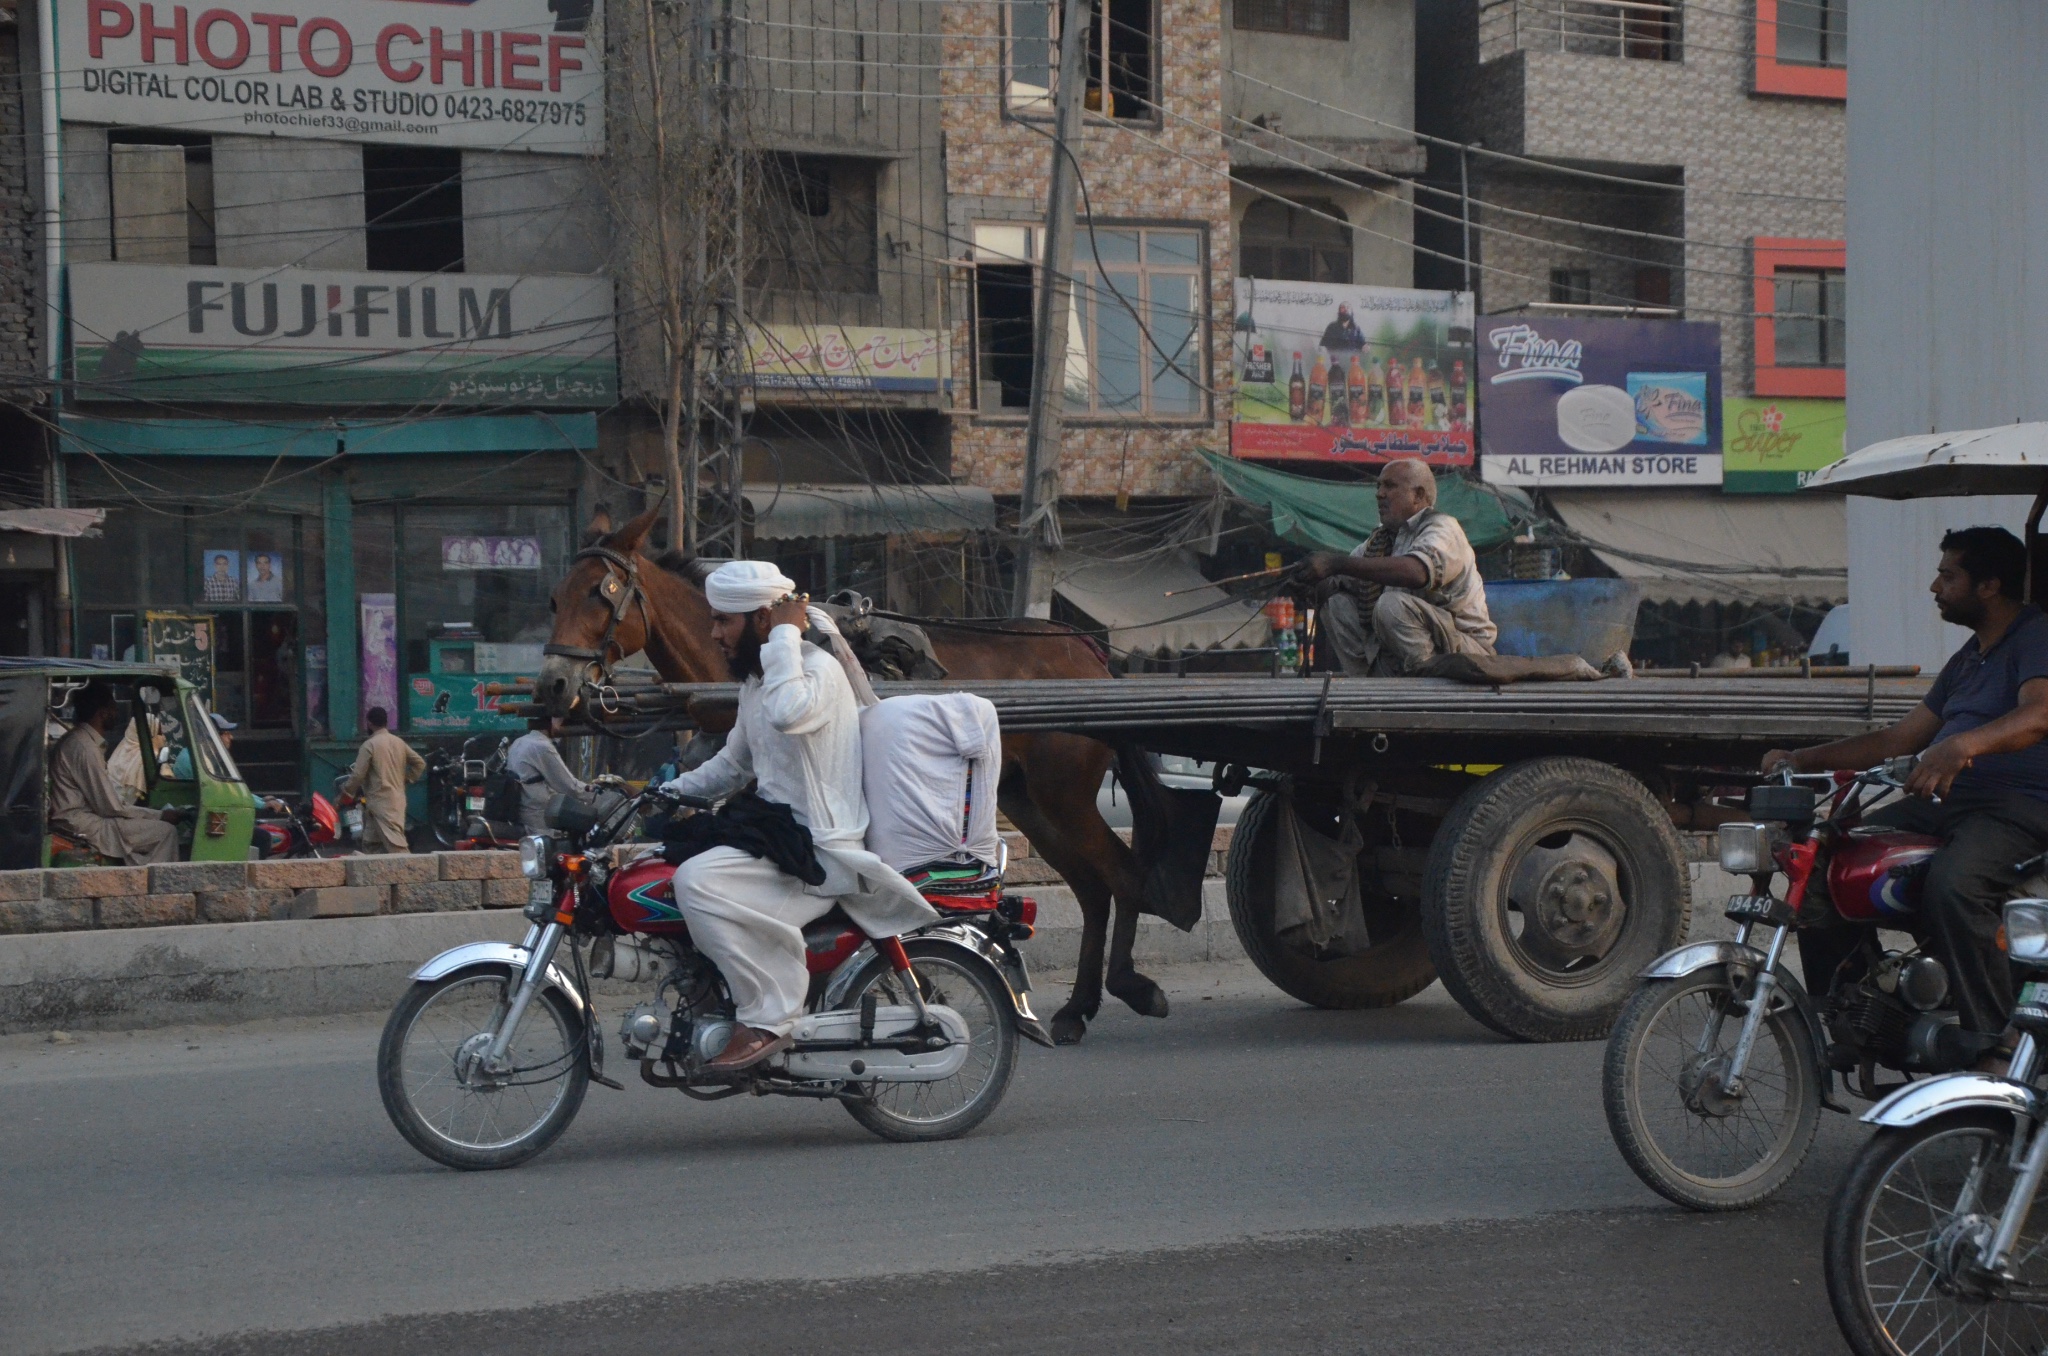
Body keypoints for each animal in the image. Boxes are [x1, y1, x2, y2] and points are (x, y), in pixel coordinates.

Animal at [540, 503, 1187, 1044]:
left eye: (602, 593)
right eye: (554, 598)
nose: (551, 684)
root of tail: (1086, 649)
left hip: (1064, 796)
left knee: (1121, 876)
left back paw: (1128, 988)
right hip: (1031, 801)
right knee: (1093, 887)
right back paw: (1079, 1007)